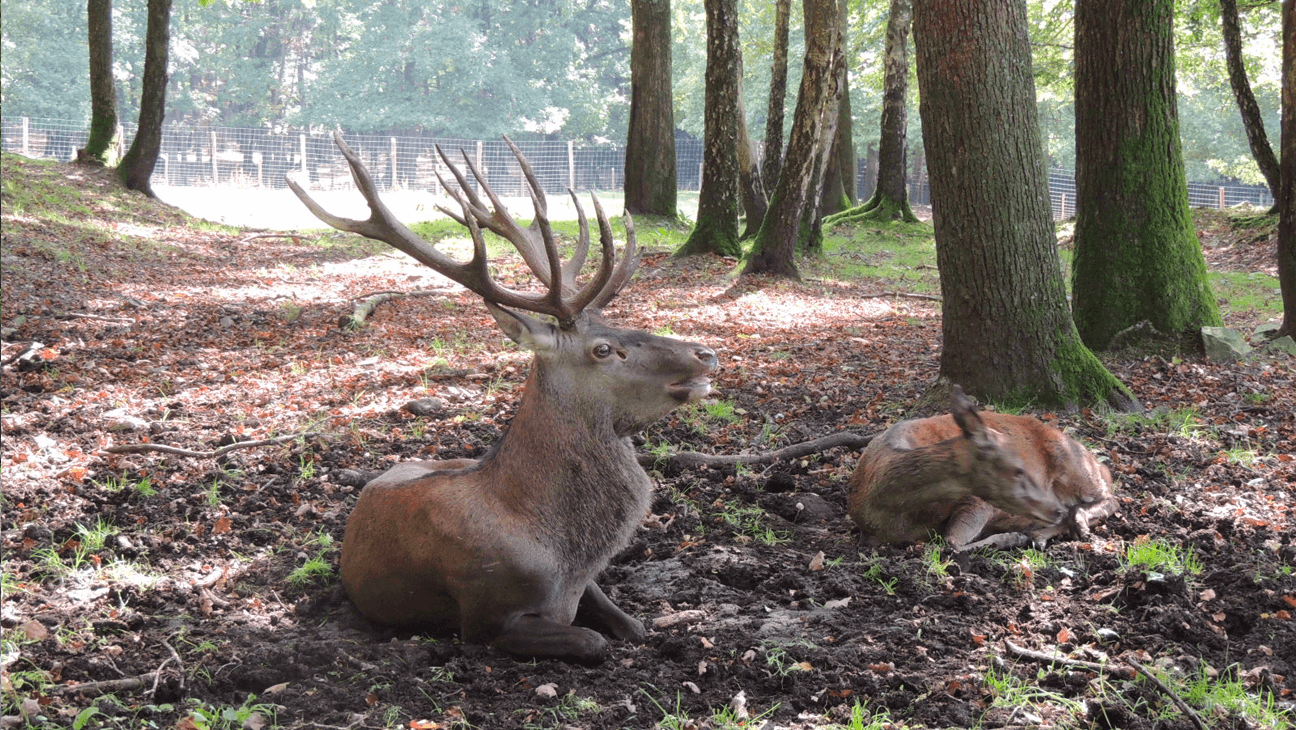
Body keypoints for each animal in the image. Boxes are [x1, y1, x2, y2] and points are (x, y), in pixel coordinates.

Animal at [286, 131, 720, 663]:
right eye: (602, 349)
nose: (705, 353)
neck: (560, 556)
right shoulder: (484, 617)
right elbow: (592, 641)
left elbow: (632, 625)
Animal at [850, 386, 1114, 552]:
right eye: (1019, 470)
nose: (1055, 508)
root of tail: (1099, 463)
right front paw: (1014, 536)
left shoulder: (976, 500)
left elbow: (952, 541)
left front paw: (1010, 538)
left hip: (1073, 464)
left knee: (1111, 498)